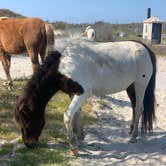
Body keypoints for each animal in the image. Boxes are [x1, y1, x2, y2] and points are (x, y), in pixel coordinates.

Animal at [14, 39, 156, 156]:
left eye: (26, 119)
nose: (29, 144)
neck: (63, 66)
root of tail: (145, 48)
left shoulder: (83, 93)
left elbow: (68, 116)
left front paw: (74, 147)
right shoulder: (73, 93)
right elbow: (77, 114)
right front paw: (80, 138)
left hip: (140, 85)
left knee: (139, 109)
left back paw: (133, 137)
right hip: (130, 87)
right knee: (134, 107)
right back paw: (131, 131)